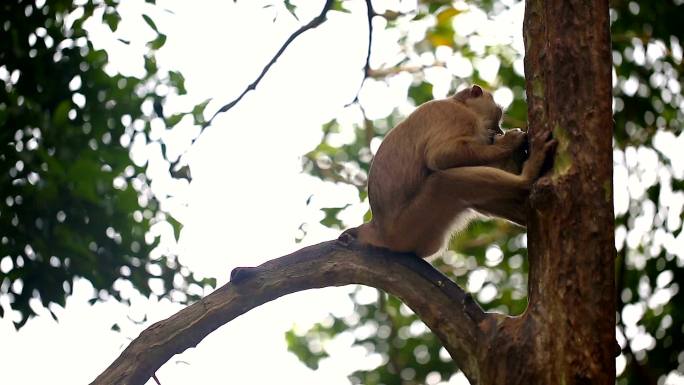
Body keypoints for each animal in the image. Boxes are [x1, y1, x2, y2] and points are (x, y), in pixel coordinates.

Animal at [344, 85, 560, 258]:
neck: (458, 103)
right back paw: (527, 177)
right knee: (443, 181)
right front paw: (510, 142)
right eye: (497, 117)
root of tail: (375, 229)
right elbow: (440, 156)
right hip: (409, 225)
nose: (499, 131)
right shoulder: (459, 117)